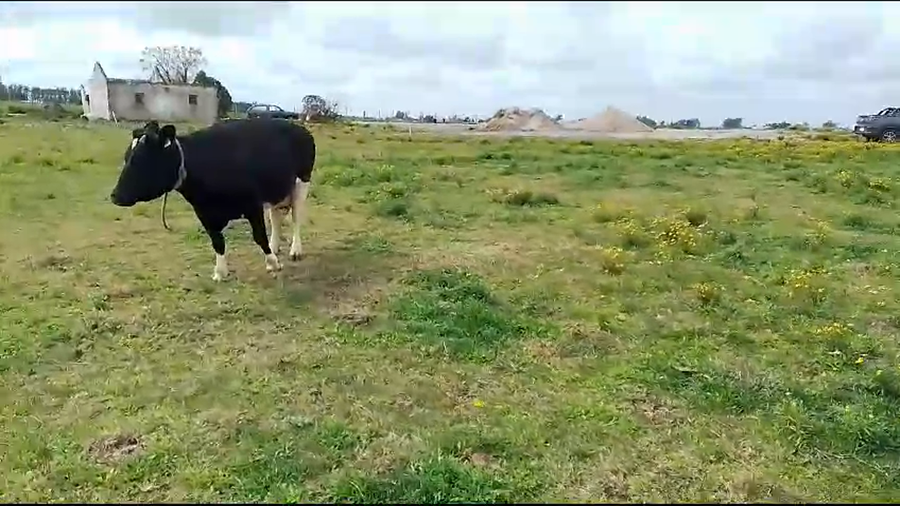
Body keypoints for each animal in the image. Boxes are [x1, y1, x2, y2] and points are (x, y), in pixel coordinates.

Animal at [109, 118, 315, 281]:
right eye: (126, 157)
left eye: (141, 160)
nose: (115, 196)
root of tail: (299, 127)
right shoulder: (204, 212)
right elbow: (217, 242)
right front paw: (220, 272)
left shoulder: (252, 205)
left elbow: (259, 236)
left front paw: (273, 263)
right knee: (276, 217)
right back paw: (275, 246)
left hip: (301, 183)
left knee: (296, 218)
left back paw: (295, 250)